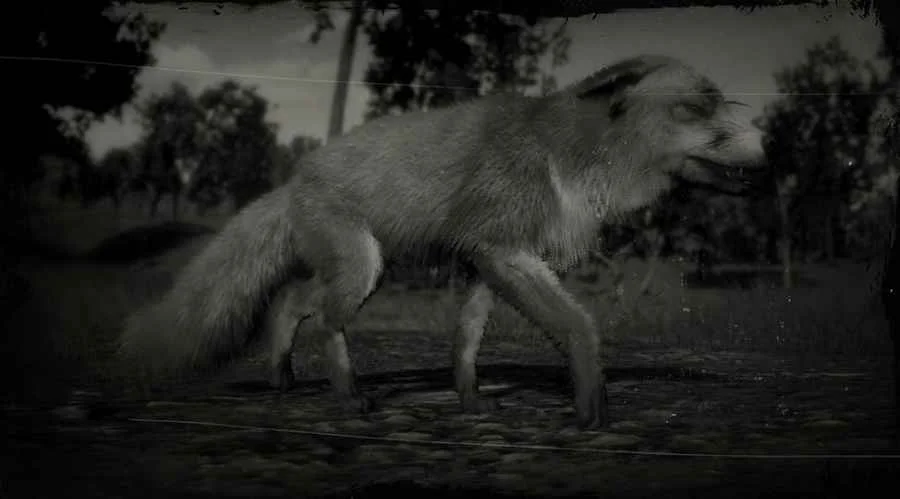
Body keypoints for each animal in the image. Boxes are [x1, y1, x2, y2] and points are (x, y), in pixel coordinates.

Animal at [118, 54, 770, 429]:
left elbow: (467, 339)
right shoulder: (503, 250)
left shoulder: (494, 258)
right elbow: (580, 326)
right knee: (324, 319)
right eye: (697, 108)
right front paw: (591, 409)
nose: (768, 142)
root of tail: (293, 179)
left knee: (291, 302)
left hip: (360, 270)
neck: (572, 159)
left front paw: (470, 403)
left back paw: (282, 376)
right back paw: (348, 399)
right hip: (364, 268)